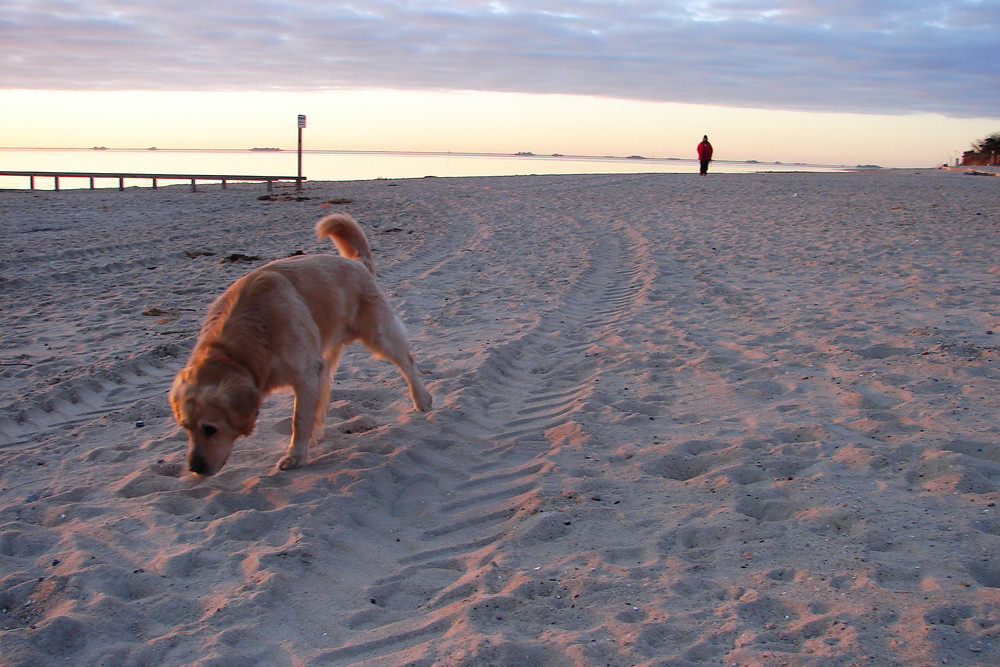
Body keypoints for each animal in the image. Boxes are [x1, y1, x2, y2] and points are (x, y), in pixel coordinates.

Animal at [169, 214, 434, 474]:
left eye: (210, 428)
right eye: (185, 427)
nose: (194, 468)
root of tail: (357, 263)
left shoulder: (305, 374)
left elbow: (299, 419)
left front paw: (295, 455)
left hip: (377, 336)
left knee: (407, 362)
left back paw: (422, 399)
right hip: (327, 349)